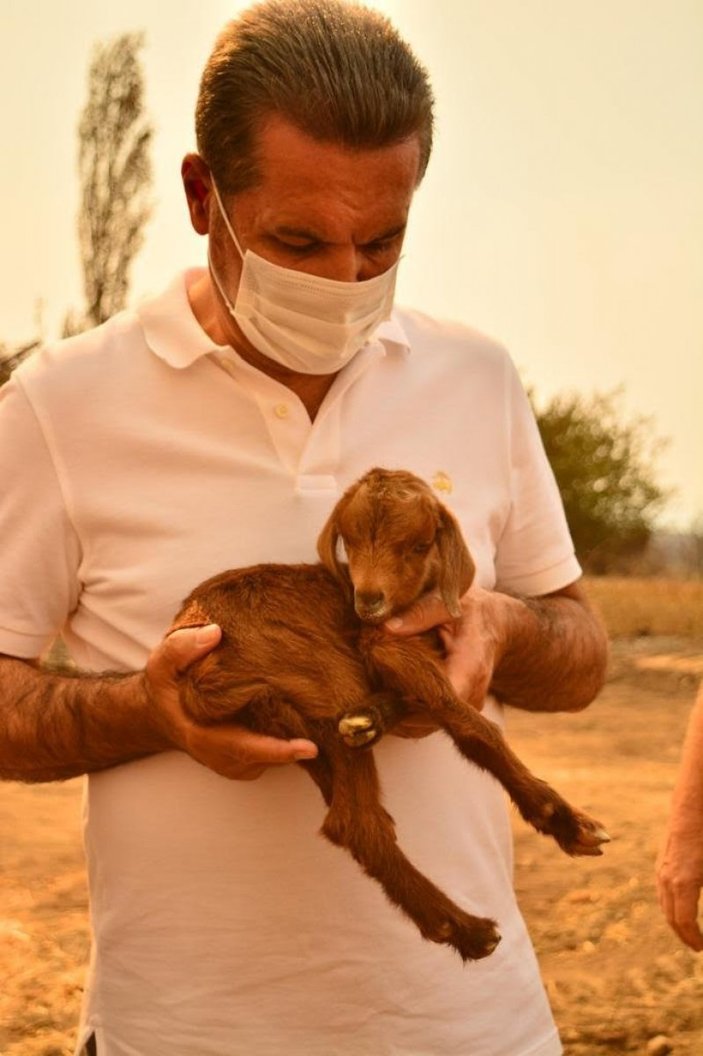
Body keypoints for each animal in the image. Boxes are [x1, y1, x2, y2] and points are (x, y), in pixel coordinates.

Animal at [171, 466, 608, 963]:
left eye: (418, 545)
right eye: (350, 540)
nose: (368, 601)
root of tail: (201, 678)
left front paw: (373, 716)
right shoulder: (384, 642)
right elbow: (472, 727)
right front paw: (561, 817)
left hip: (296, 716)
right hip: (322, 671)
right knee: (355, 822)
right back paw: (469, 926)